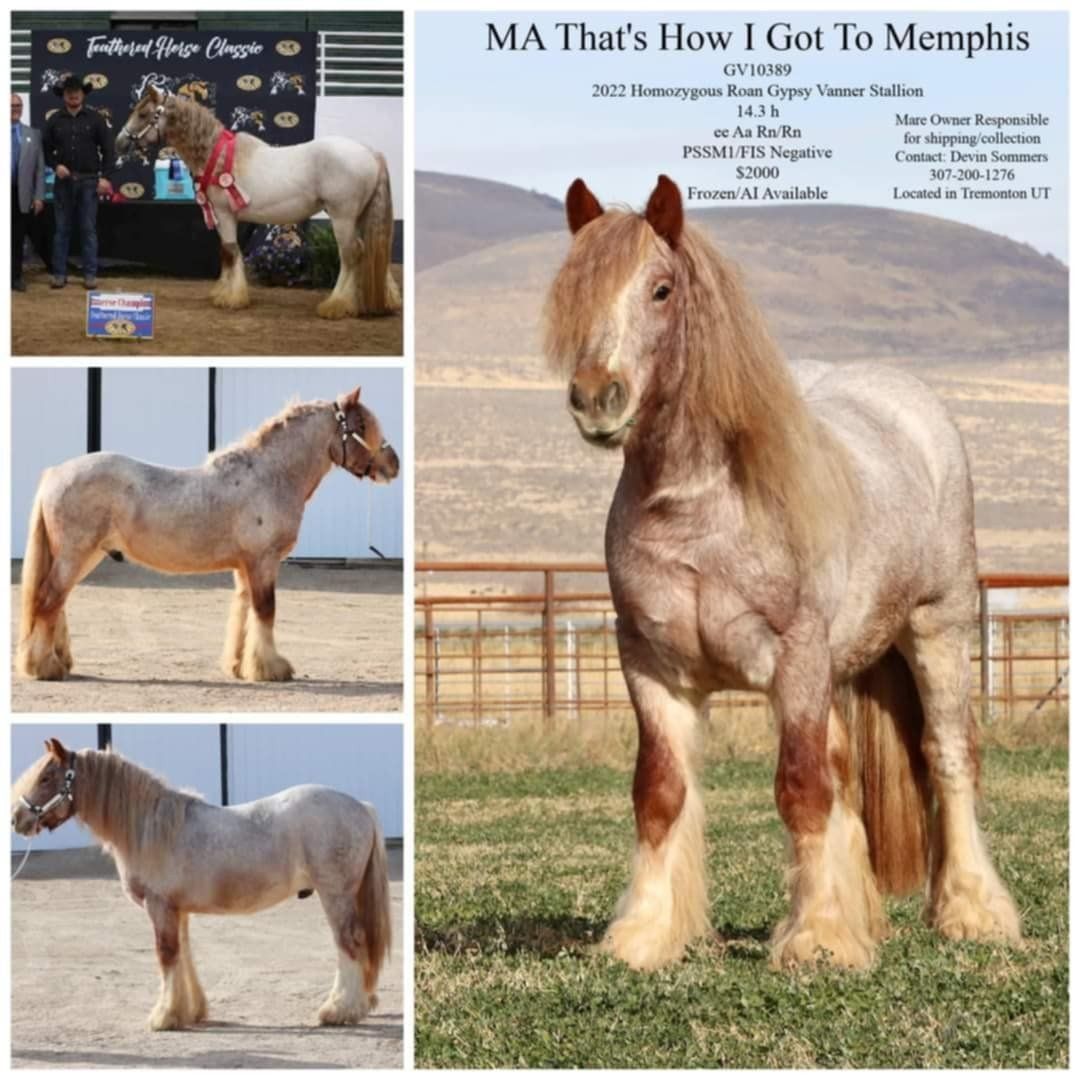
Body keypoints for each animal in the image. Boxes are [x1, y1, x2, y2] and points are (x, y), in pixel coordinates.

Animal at [12, 737, 392, 1030]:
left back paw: (339, 1010)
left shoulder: (159, 906)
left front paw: (163, 1017)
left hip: (335, 895)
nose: (17, 818)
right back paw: (362, 1002)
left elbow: (166, 955)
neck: (149, 828)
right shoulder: (177, 910)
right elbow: (183, 954)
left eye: (47, 777)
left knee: (349, 942)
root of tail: (361, 807)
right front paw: (189, 1012)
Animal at [15, 387, 399, 683]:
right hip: (75, 554)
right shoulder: (263, 561)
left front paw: (240, 665)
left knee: (56, 602)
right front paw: (271, 669)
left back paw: (58, 662)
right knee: (48, 599)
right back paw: (43, 667)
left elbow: (244, 610)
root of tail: (56, 473)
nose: (393, 464)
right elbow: (265, 610)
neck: (269, 476)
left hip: (84, 555)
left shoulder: (245, 566)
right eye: (361, 425)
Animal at [115, 87, 401, 319]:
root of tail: (371, 153)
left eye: (144, 114)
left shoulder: (225, 214)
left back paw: (336, 305)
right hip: (360, 217)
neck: (216, 154)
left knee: (351, 254)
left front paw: (231, 298)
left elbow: (230, 250)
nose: (119, 142)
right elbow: (226, 252)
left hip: (342, 217)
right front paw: (223, 292)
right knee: (367, 250)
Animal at [542, 175, 1021, 972]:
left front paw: (816, 940)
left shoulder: (795, 661)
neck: (697, 511)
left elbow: (800, 789)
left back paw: (973, 913)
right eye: (575, 291)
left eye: (662, 290)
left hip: (937, 630)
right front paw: (645, 933)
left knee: (949, 757)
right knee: (845, 771)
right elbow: (661, 793)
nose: (597, 398)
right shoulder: (651, 666)